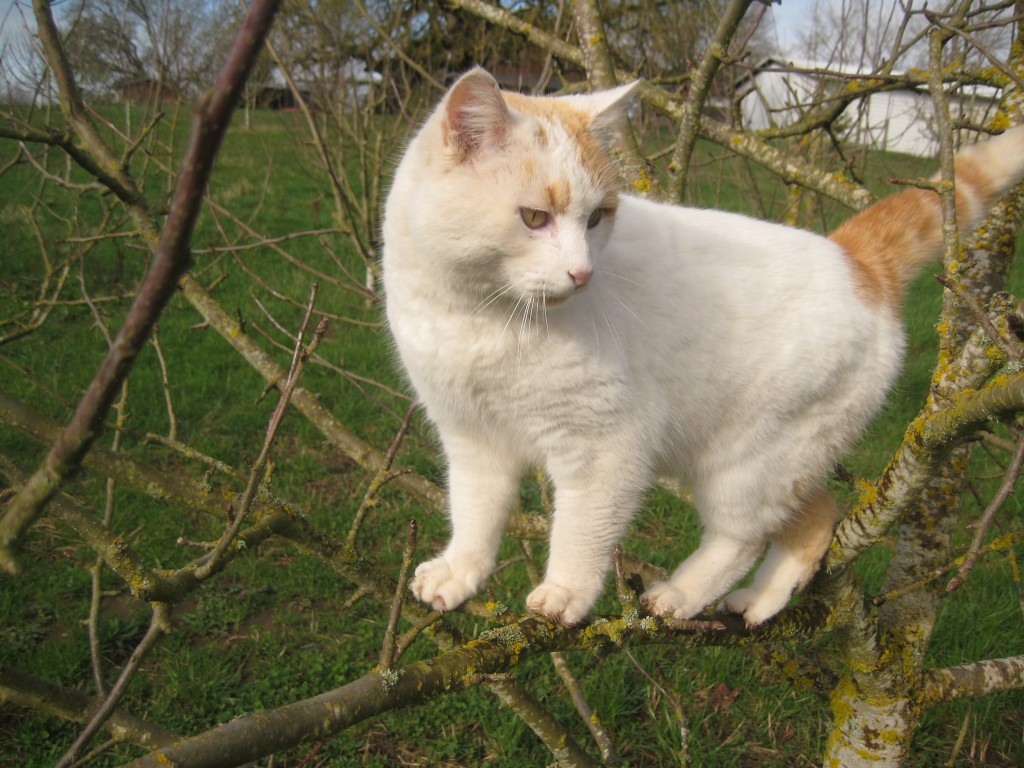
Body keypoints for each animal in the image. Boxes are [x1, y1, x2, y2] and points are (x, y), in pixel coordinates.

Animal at [380, 66, 1024, 626]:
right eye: (535, 218)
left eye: (597, 218)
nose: (582, 274)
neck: (477, 317)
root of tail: (853, 256)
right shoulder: (471, 439)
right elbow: (475, 513)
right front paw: (459, 573)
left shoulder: (605, 448)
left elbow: (580, 532)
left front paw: (566, 593)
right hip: (762, 464)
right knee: (814, 515)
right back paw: (757, 602)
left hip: (747, 463)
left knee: (750, 535)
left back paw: (689, 595)